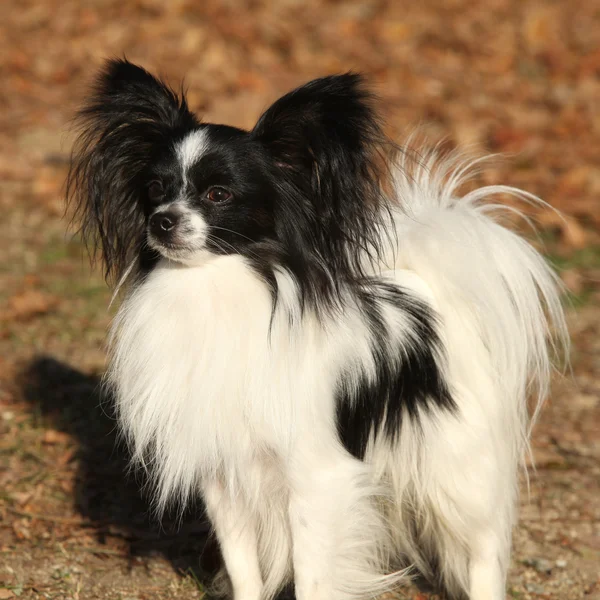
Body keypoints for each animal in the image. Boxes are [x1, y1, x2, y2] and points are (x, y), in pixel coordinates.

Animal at [65, 59, 568, 600]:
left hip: (457, 464)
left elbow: (312, 575)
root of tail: (430, 293)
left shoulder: (316, 479)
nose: (161, 221)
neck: (211, 288)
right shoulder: (223, 478)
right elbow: (243, 566)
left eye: (219, 194)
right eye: (156, 189)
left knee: (483, 549)